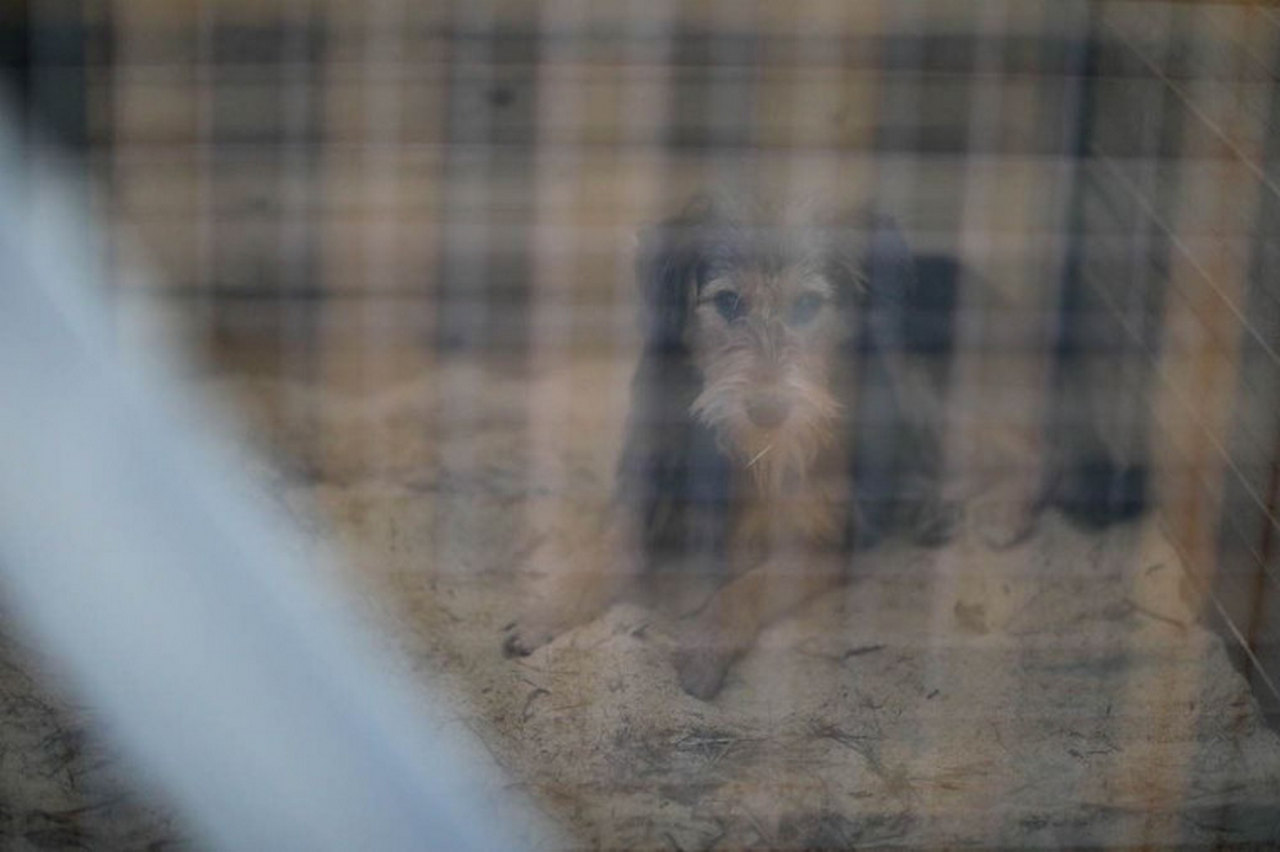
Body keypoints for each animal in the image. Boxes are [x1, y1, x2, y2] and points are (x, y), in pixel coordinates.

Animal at [503, 194, 1045, 698]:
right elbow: (608, 550)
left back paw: (999, 512)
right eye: (728, 302)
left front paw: (704, 649)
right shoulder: (646, 482)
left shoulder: (824, 537)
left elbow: (747, 587)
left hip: (924, 382)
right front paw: (546, 611)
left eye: (807, 305)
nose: (768, 410)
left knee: (1039, 452)